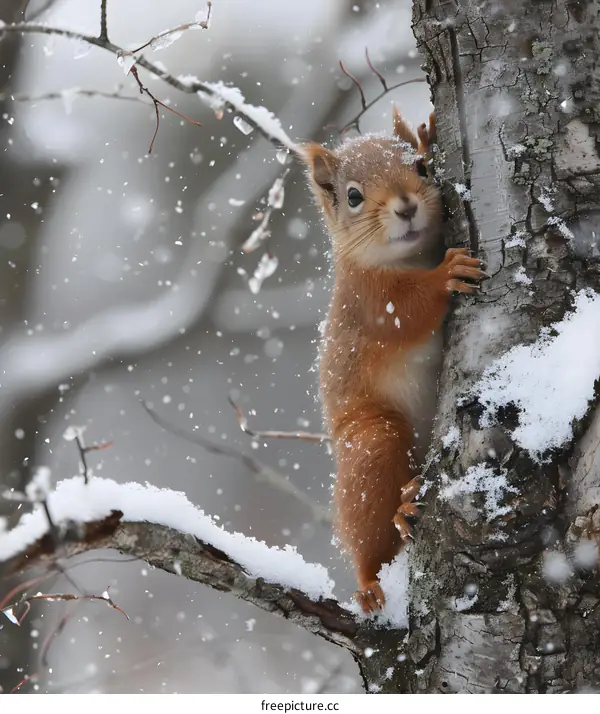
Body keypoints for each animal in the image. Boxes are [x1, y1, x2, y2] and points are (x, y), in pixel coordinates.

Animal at [301, 107, 486, 613]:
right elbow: (408, 311)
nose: (405, 206)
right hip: (373, 442)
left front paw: (427, 132)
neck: (412, 257)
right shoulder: (368, 301)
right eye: (353, 196)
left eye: (421, 168)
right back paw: (381, 555)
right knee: (371, 537)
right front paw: (447, 274)